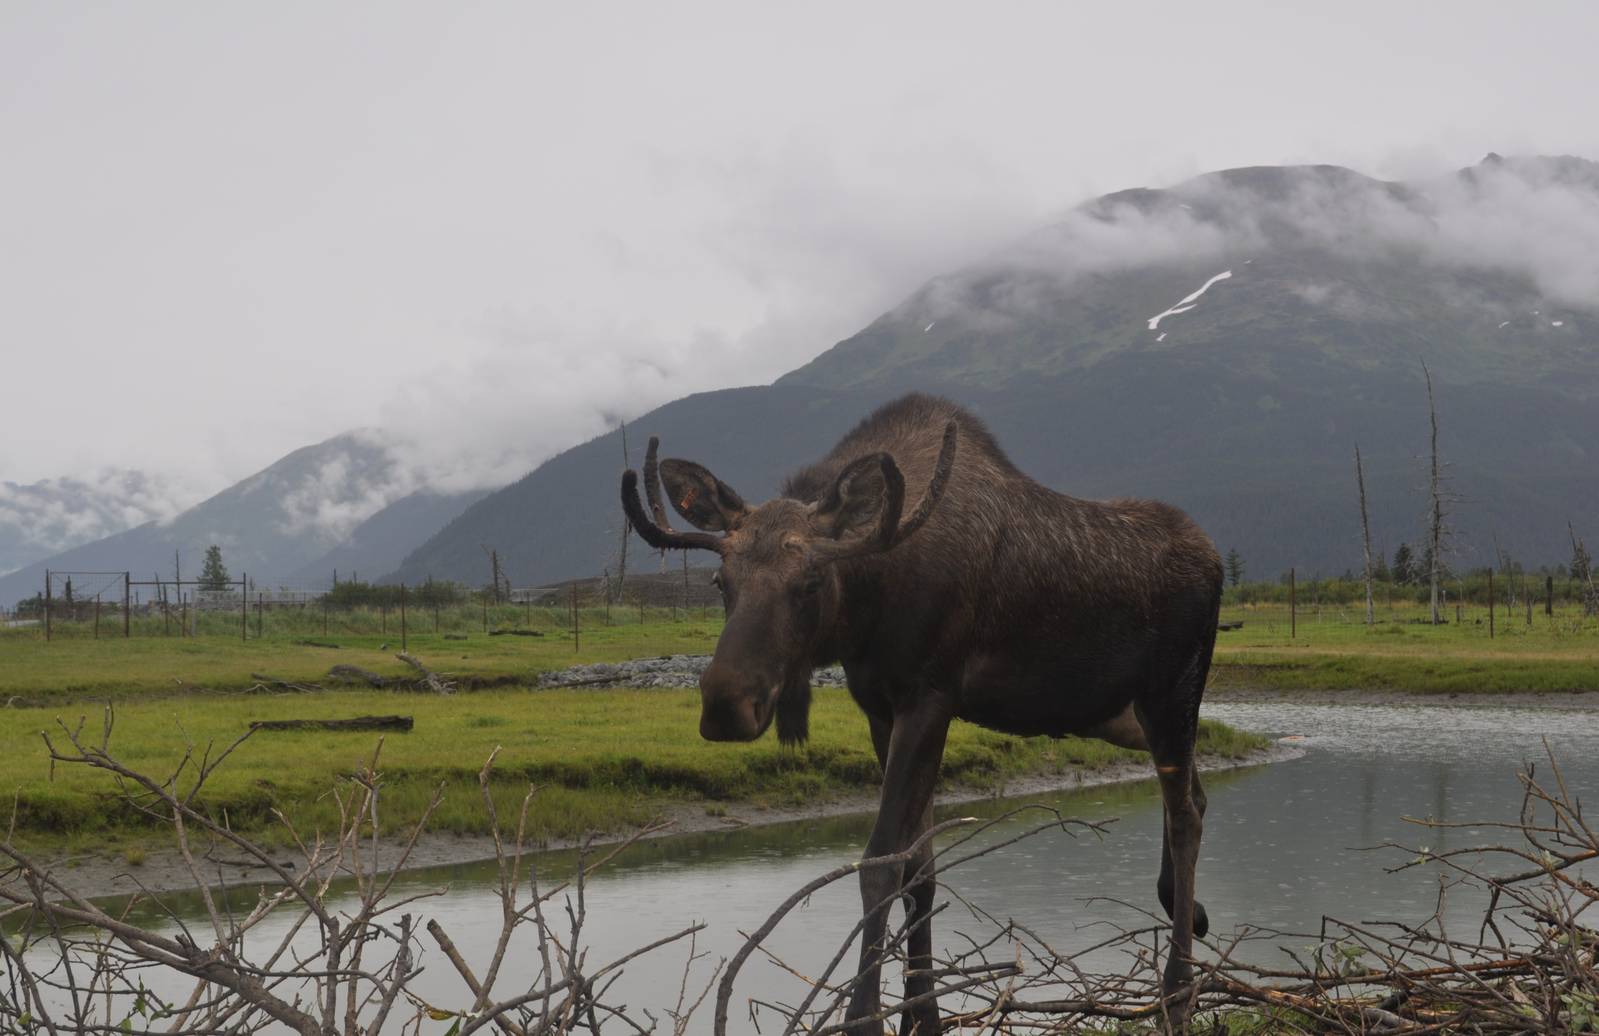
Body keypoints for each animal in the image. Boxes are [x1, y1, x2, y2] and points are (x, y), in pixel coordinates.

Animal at [620, 393, 1224, 1034]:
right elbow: (919, 870)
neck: (868, 601)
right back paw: (1189, 915)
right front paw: (921, 1012)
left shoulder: (928, 700)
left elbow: (881, 862)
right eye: (720, 580)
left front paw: (866, 1016)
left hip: (1173, 692)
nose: (725, 704)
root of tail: (1215, 560)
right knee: (1196, 793)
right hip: (1121, 717)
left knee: (1184, 814)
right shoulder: (881, 711)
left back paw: (1177, 989)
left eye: (810, 581)